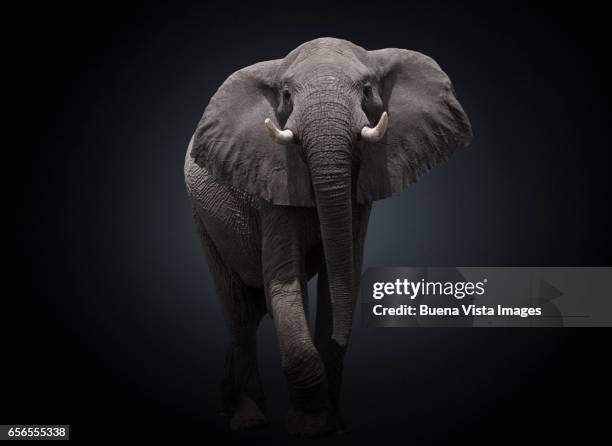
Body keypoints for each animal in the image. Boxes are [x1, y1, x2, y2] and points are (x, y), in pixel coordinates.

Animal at [184, 37, 470, 436]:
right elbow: (285, 286)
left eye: (367, 90)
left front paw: (332, 422)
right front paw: (311, 426)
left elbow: (340, 282)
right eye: (286, 95)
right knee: (237, 309)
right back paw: (248, 418)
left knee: (252, 309)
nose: (340, 337)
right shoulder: (271, 183)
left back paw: (227, 409)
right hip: (203, 219)